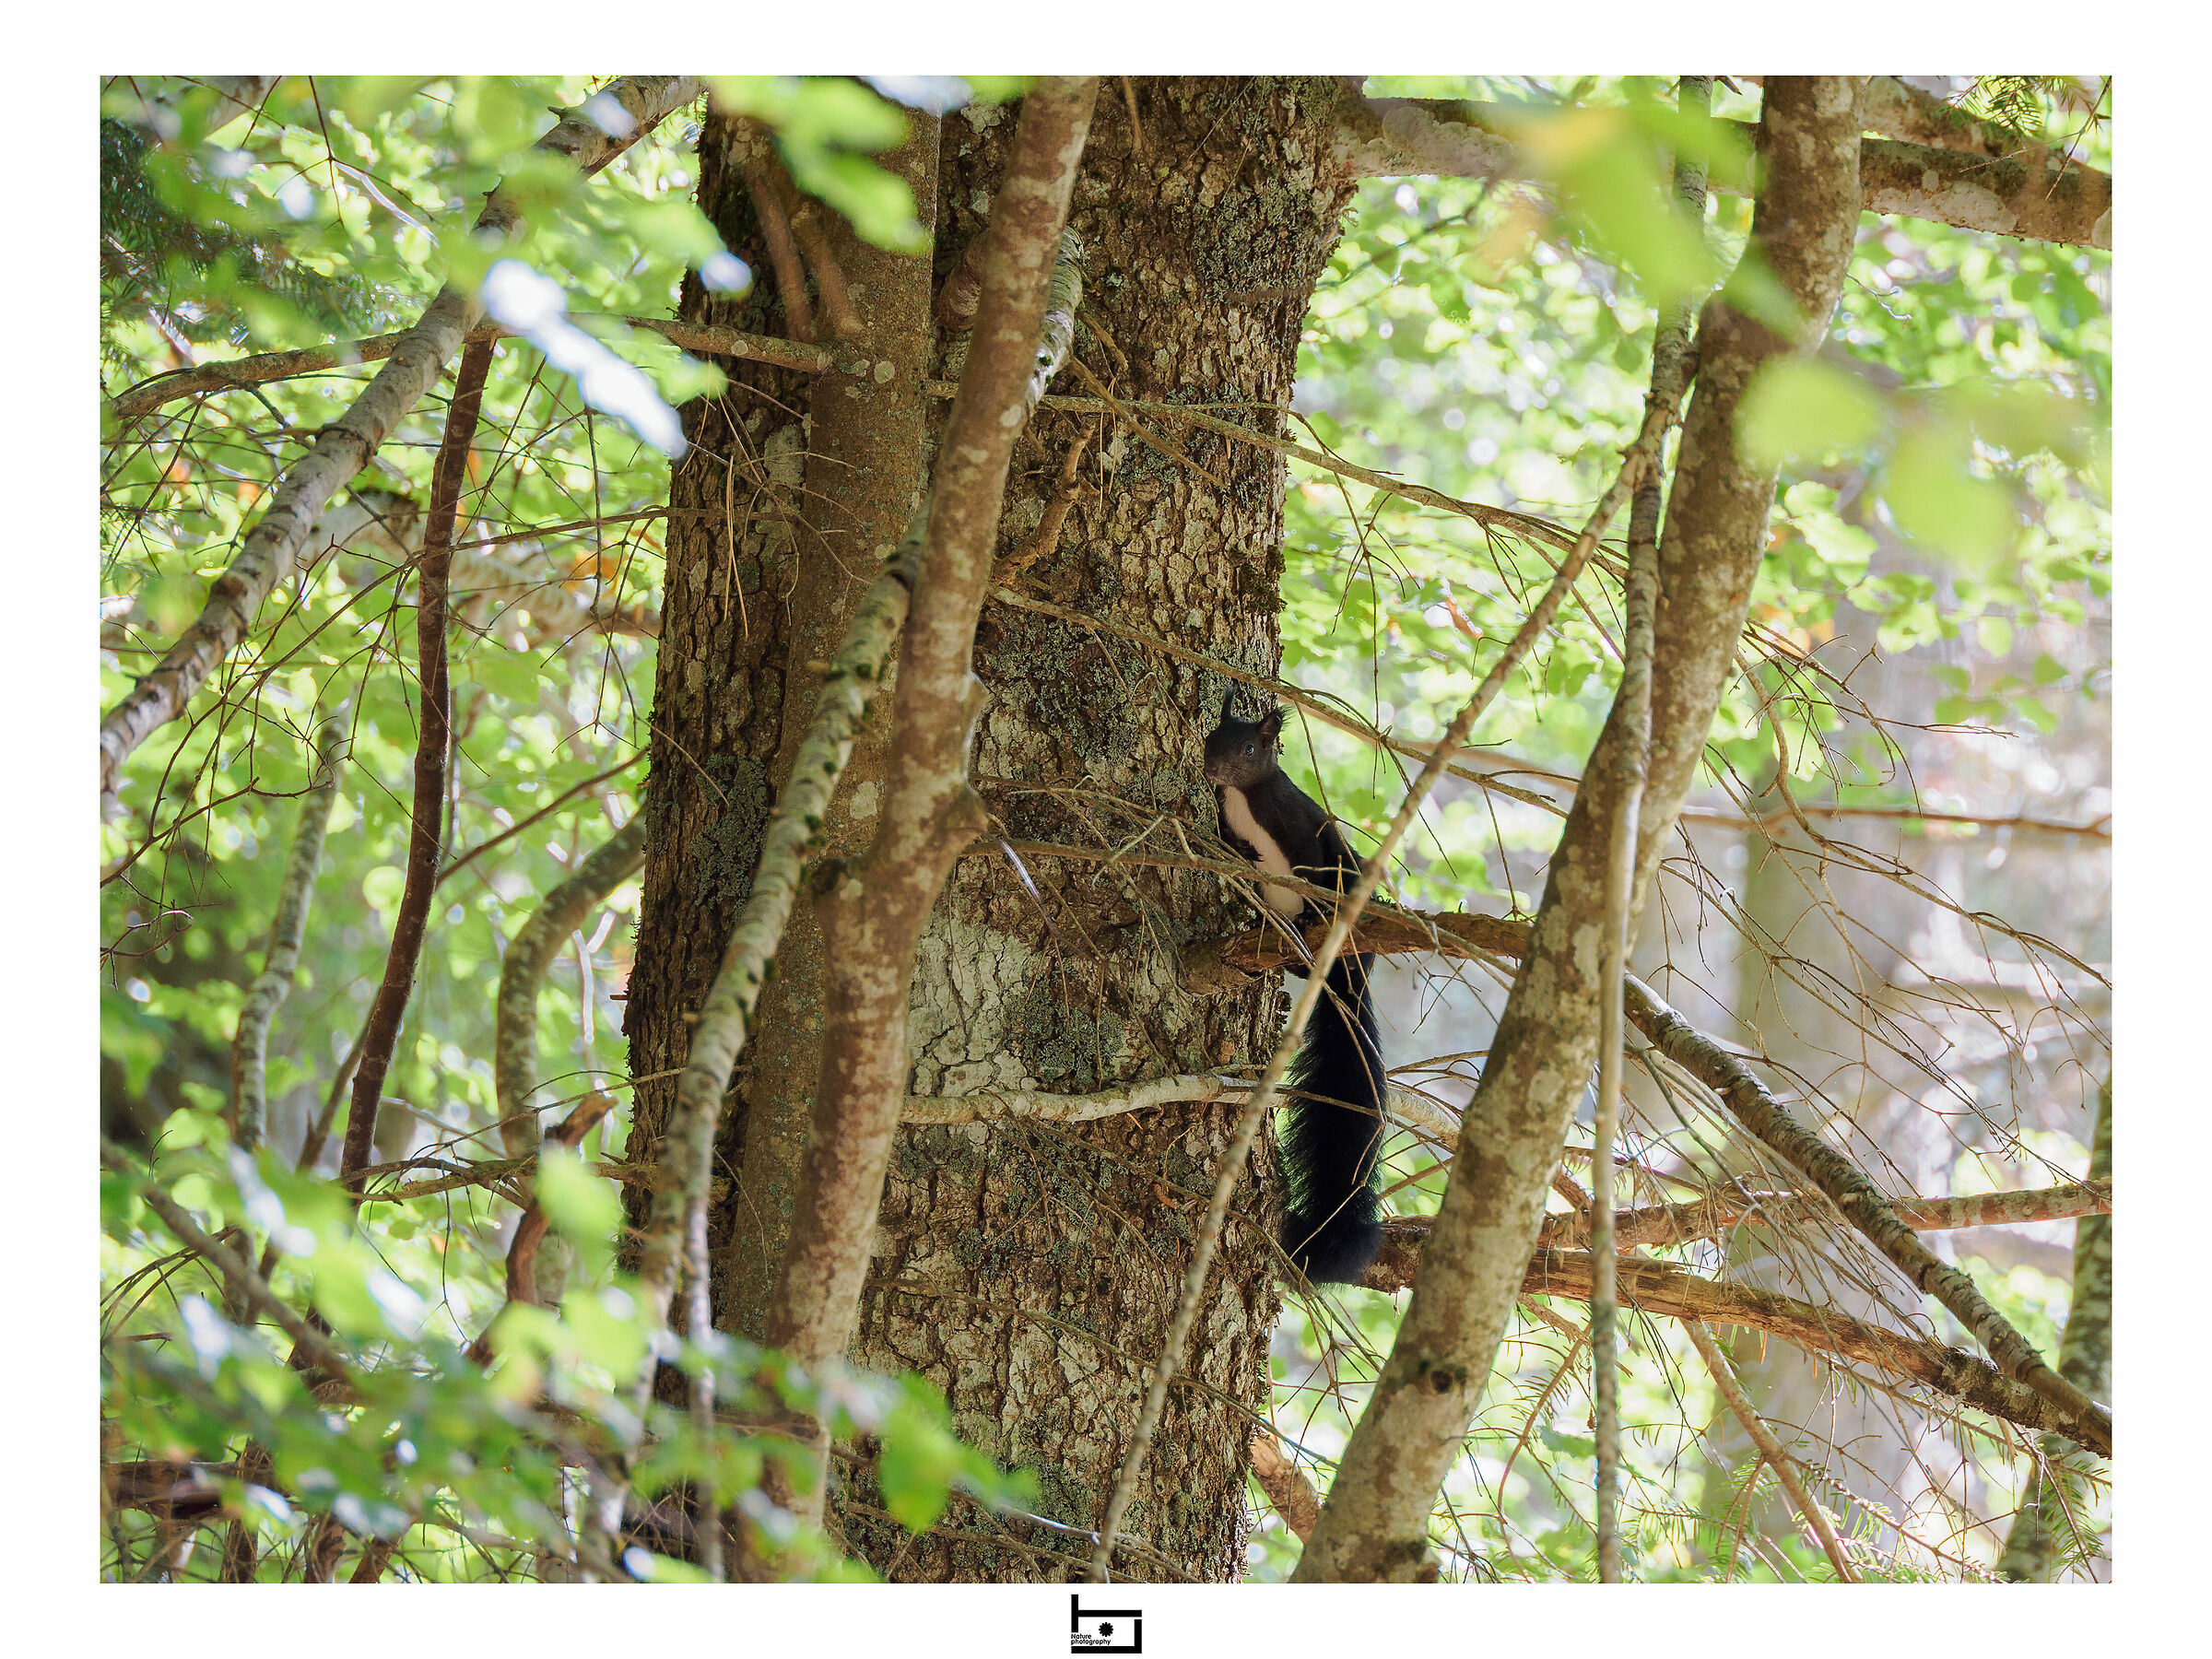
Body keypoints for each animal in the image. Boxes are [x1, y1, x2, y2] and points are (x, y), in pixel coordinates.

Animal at [1203, 699, 1385, 1285]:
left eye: (1250, 747)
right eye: (1211, 737)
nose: (1213, 771)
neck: (1245, 800)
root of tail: (1346, 980)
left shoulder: (1305, 830)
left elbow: (1314, 861)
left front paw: (1310, 908)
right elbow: (1229, 843)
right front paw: (1242, 850)